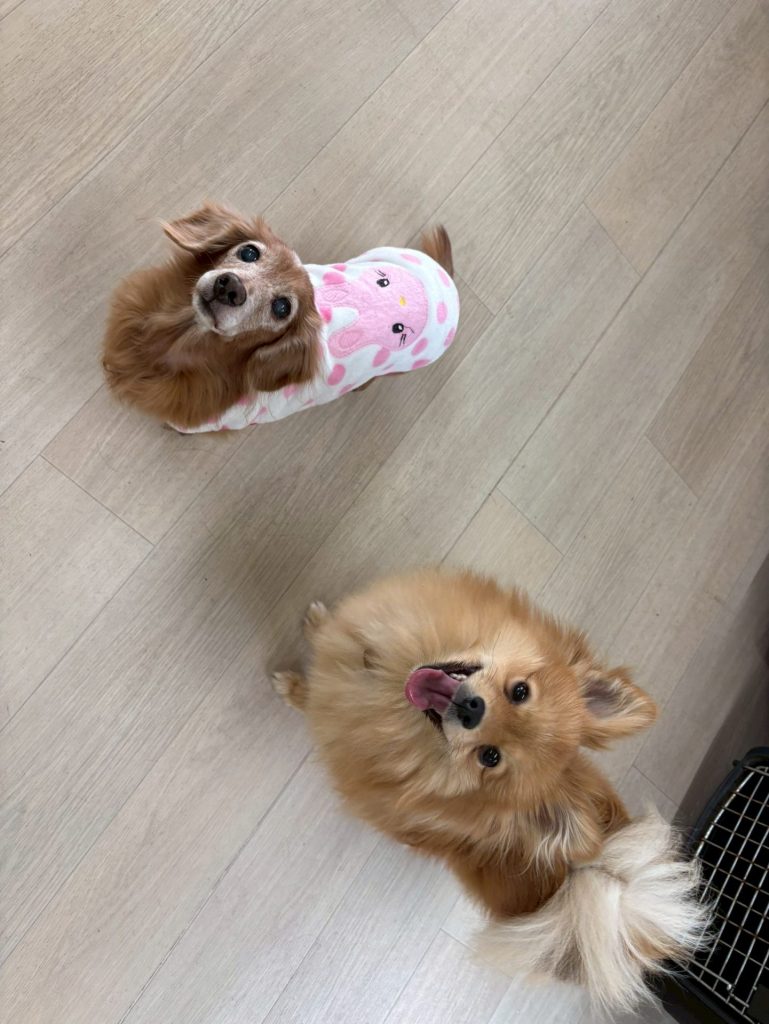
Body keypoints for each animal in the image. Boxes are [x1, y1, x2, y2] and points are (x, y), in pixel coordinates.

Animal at [272, 568, 708, 1013]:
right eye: (520, 692)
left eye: (490, 757)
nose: (471, 709)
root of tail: (574, 876)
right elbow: (335, 634)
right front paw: (318, 622)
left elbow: (315, 699)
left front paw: (291, 688)